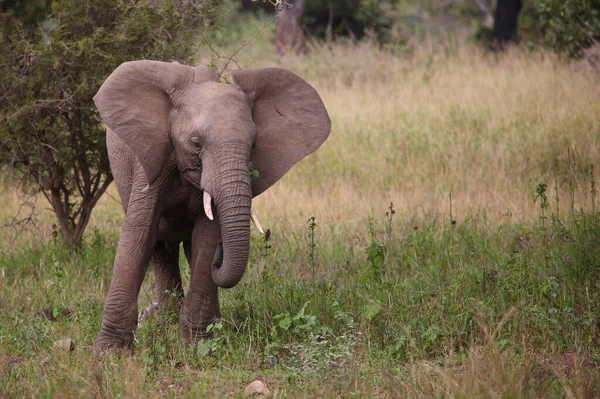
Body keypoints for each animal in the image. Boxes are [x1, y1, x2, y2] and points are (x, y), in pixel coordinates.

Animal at [92, 61, 332, 352]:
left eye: (253, 145)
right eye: (196, 143)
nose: (223, 253)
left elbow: (206, 239)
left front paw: (197, 347)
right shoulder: (153, 158)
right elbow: (139, 234)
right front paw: (108, 353)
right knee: (160, 248)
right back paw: (167, 320)